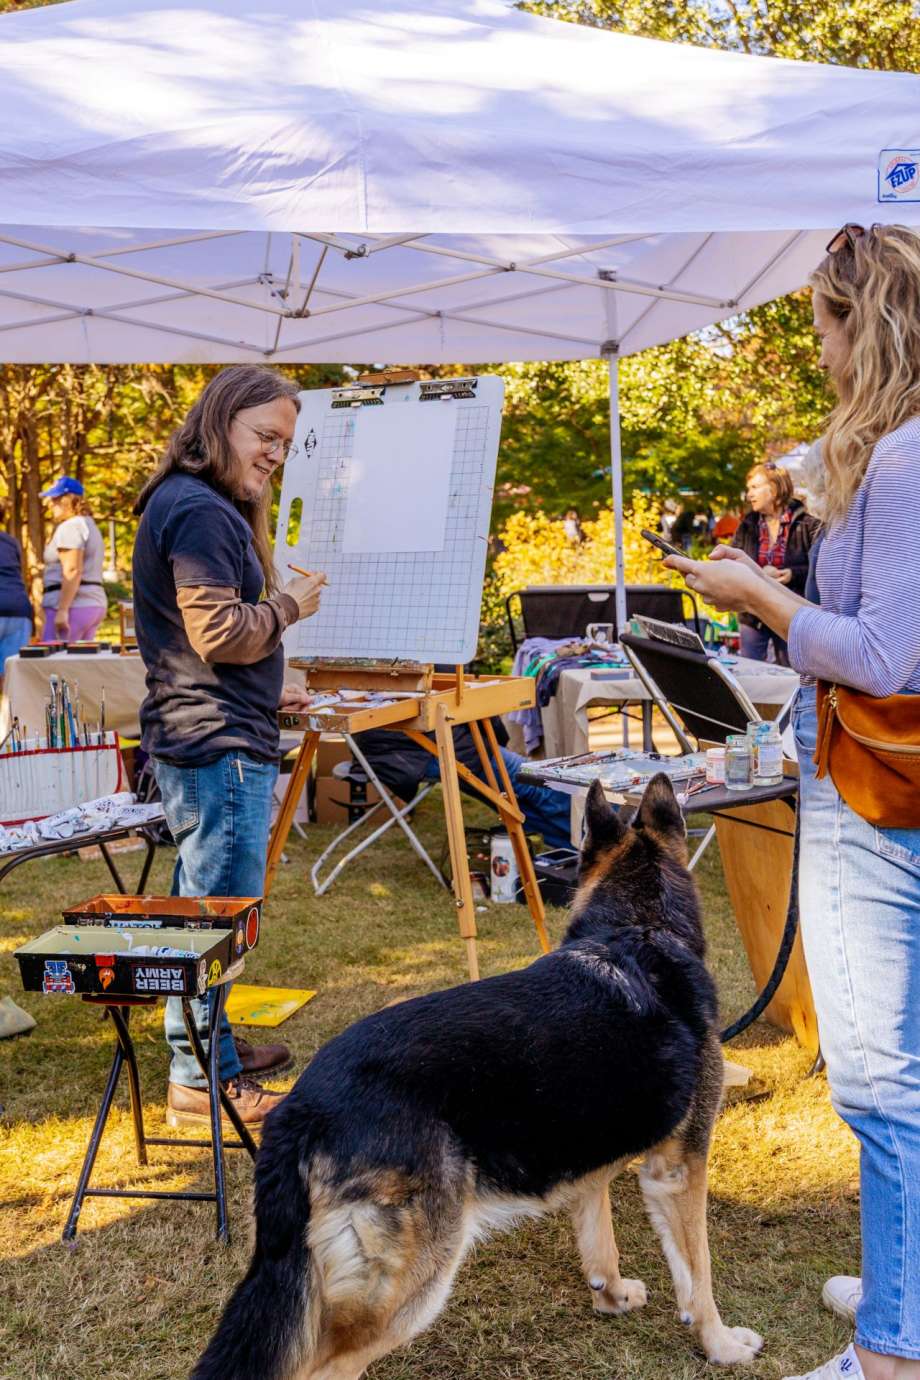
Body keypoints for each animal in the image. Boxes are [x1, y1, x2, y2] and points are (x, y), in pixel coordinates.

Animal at [194, 778, 761, 1380]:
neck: (637, 930)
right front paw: (721, 1344)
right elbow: (697, 1274)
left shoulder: (592, 1163)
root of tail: (302, 1107)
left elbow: (598, 1234)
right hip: (410, 1284)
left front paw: (612, 1295)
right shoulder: (679, 1171)